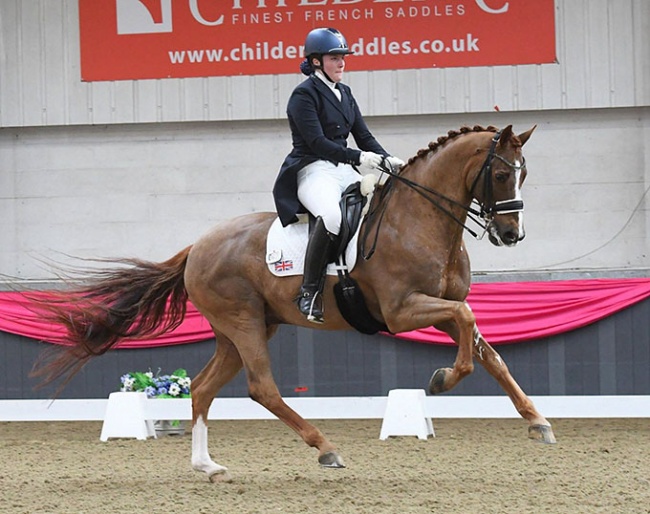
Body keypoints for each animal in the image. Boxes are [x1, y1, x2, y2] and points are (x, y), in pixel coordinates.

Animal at [33, 123, 556, 480]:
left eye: (526, 173)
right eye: (502, 173)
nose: (511, 234)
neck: (420, 219)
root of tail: (197, 247)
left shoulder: (438, 307)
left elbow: (489, 352)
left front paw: (538, 422)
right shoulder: (401, 309)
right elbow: (468, 326)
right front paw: (443, 379)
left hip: (242, 329)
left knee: (201, 388)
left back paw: (208, 466)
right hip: (243, 323)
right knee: (262, 387)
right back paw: (325, 447)